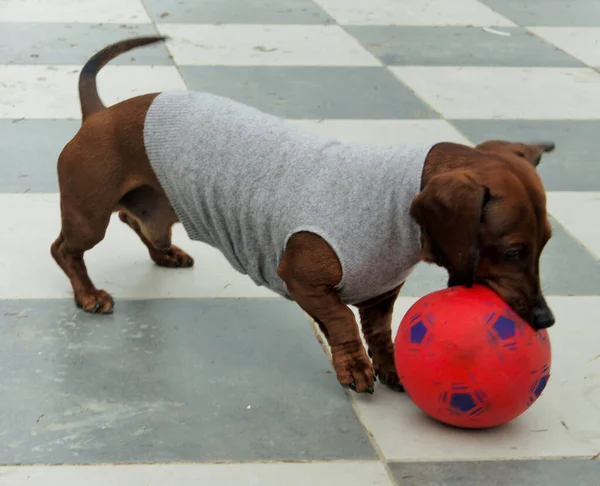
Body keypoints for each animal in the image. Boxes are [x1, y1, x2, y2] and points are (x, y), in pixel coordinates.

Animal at [51, 38, 556, 394]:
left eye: (547, 243)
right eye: (513, 250)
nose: (545, 319)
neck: (393, 206)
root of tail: (98, 114)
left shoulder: (381, 293)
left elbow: (378, 331)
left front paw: (389, 364)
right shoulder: (300, 279)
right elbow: (342, 320)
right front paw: (354, 366)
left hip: (159, 207)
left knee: (138, 224)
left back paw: (166, 254)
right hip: (88, 218)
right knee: (64, 250)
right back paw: (88, 294)